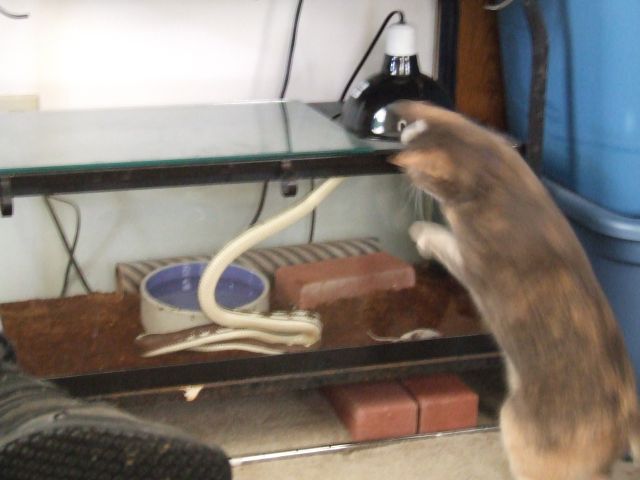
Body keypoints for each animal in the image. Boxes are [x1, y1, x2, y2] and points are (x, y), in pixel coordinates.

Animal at [387, 100, 640, 480]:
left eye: (416, 176)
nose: (399, 128)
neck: (494, 172)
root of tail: (626, 414)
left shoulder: (469, 258)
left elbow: (442, 237)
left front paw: (420, 229)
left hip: (516, 426)